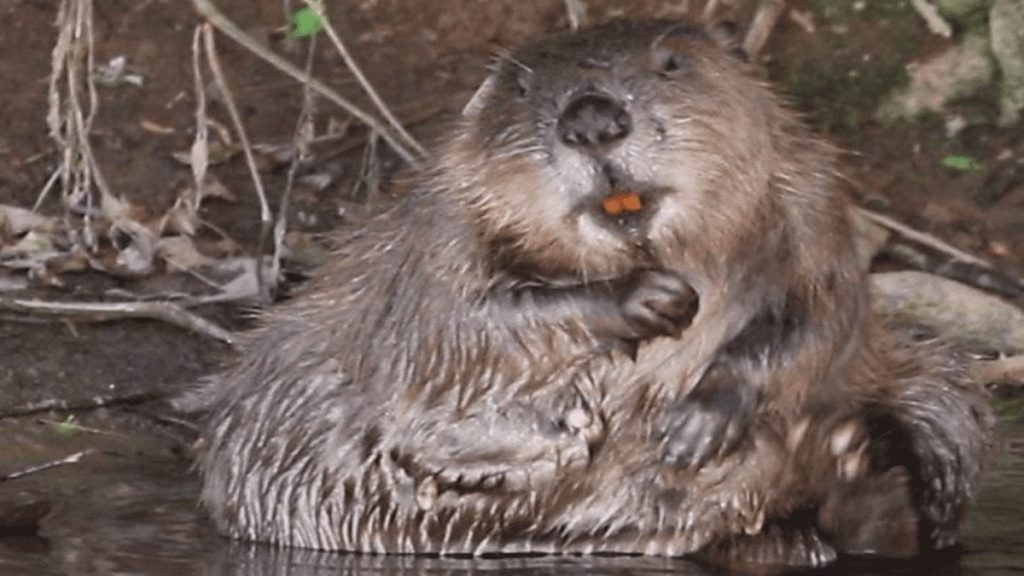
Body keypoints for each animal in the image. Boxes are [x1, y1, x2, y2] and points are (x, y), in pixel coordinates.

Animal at [184, 16, 991, 565]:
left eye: (670, 62)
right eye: (521, 88)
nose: (594, 120)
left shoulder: (813, 203)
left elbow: (821, 316)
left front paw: (695, 424)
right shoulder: (432, 242)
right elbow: (451, 330)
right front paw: (647, 301)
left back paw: (869, 471)